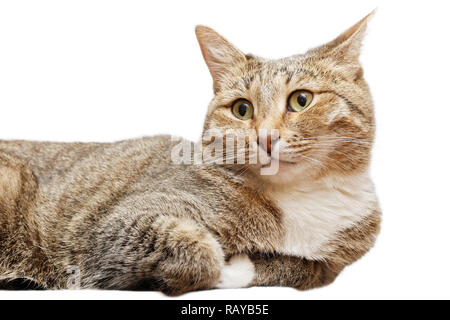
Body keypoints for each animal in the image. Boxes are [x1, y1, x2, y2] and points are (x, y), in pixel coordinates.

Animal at [0, 11, 380, 296]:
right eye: (242, 109)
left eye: (301, 100)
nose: (266, 138)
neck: (300, 198)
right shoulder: (114, 226)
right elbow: (201, 253)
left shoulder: (330, 265)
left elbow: (300, 268)